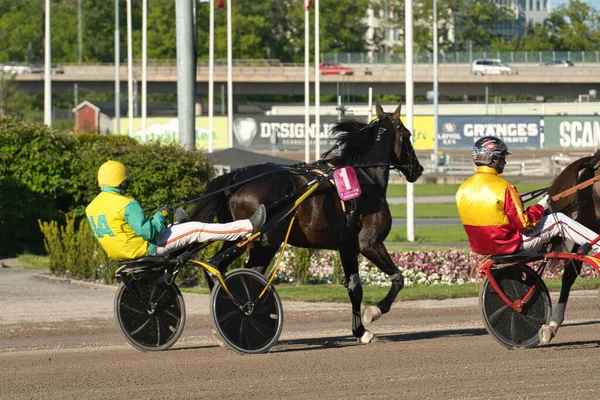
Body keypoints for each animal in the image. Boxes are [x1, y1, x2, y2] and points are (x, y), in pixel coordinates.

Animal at [191, 104, 422, 344]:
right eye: (407, 135)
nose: (418, 169)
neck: (364, 177)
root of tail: (238, 178)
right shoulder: (370, 243)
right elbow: (397, 278)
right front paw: (373, 313)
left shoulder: (347, 247)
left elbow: (355, 288)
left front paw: (360, 330)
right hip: (266, 242)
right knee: (248, 276)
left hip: (238, 236)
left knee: (215, 266)